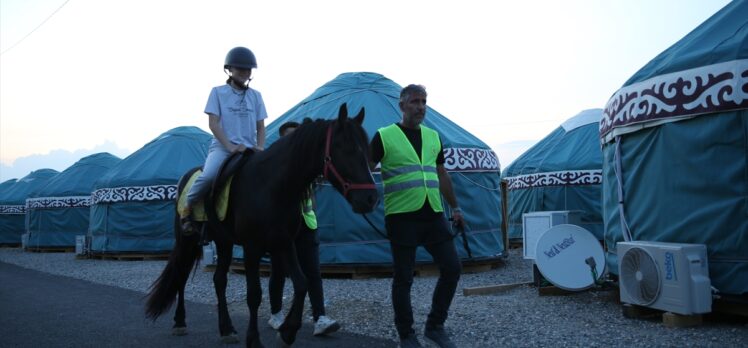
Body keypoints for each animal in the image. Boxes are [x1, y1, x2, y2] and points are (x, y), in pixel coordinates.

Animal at [145, 104, 376, 346]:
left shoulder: (284, 243)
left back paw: (226, 329)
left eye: (367, 150)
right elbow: (254, 295)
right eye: (346, 149)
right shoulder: (252, 247)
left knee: (219, 280)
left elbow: (302, 283)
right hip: (187, 239)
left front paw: (288, 331)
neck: (272, 186)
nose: (371, 198)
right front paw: (254, 339)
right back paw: (180, 322)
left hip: (224, 241)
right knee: (180, 276)